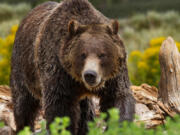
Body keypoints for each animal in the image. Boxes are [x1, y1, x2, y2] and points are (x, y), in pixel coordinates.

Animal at [9, 0, 134, 134]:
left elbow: (117, 99)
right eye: (82, 54)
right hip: (23, 68)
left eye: (102, 54)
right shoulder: (59, 71)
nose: (90, 74)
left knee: (86, 111)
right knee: (23, 103)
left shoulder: (113, 77)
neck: (77, 79)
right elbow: (60, 107)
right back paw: (24, 128)